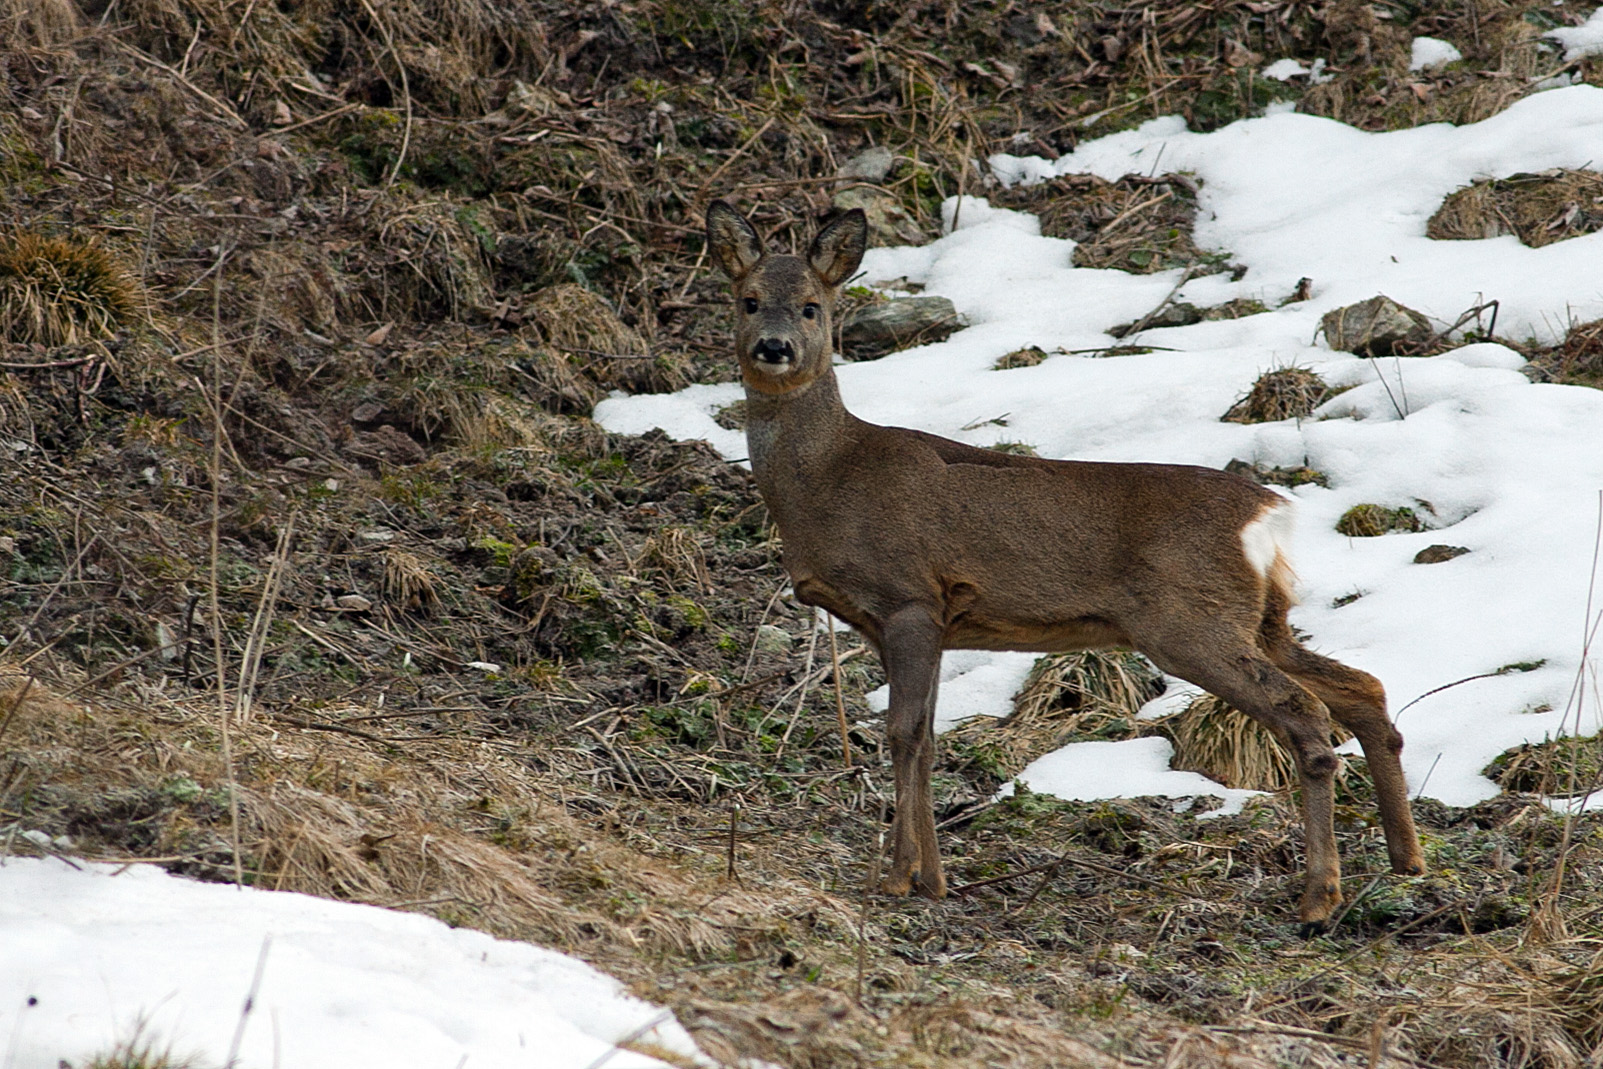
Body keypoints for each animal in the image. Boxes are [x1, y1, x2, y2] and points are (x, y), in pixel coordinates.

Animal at [708, 198, 1423, 929]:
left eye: (812, 307)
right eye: (747, 299)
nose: (774, 348)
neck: (830, 478)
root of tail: (1266, 512)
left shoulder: (908, 598)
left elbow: (903, 734)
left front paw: (899, 877)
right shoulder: (919, 622)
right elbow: (928, 738)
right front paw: (934, 879)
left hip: (1190, 620)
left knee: (1305, 711)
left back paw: (1319, 896)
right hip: (1260, 618)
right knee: (1363, 688)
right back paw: (1406, 860)